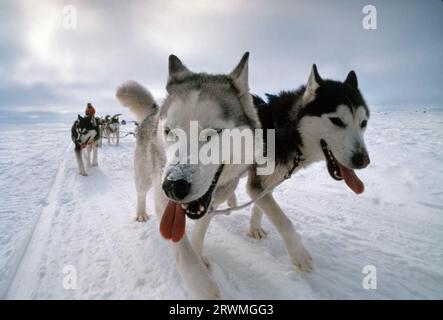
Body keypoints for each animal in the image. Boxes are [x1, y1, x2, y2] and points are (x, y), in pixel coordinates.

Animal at [116, 53, 262, 300]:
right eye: (169, 131)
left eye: (213, 132)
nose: (174, 187)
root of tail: (153, 112)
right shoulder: (162, 200)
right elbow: (183, 252)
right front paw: (203, 285)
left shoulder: (210, 205)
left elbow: (198, 235)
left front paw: (199, 255)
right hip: (144, 177)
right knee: (141, 193)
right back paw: (141, 213)